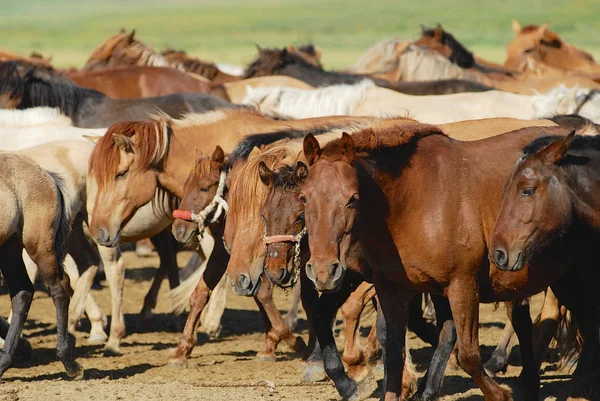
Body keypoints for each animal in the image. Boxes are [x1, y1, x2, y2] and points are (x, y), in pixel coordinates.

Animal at [0, 152, 84, 380]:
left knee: (60, 288)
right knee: (22, 292)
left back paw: (70, 364)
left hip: (38, 246)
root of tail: (46, 175)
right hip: (9, 248)